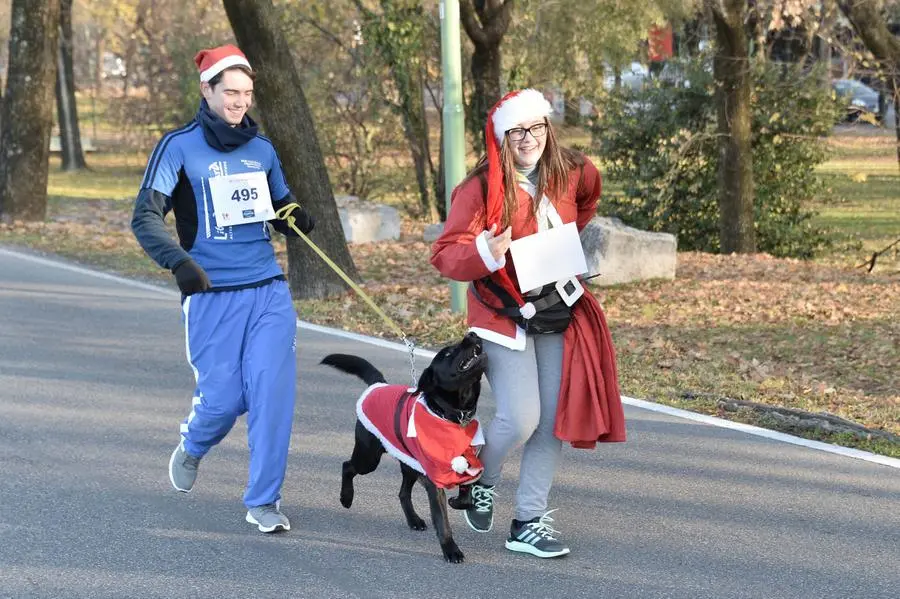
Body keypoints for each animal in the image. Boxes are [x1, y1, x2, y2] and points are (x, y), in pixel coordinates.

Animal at [322, 332, 486, 564]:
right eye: (447, 353)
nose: (472, 333)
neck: (453, 415)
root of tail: (379, 385)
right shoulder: (434, 481)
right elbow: (442, 521)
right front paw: (451, 549)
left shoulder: (470, 463)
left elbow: (468, 489)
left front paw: (459, 501)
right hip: (369, 457)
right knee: (347, 466)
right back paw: (346, 498)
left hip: (408, 462)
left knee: (402, 493)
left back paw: (414, 519)